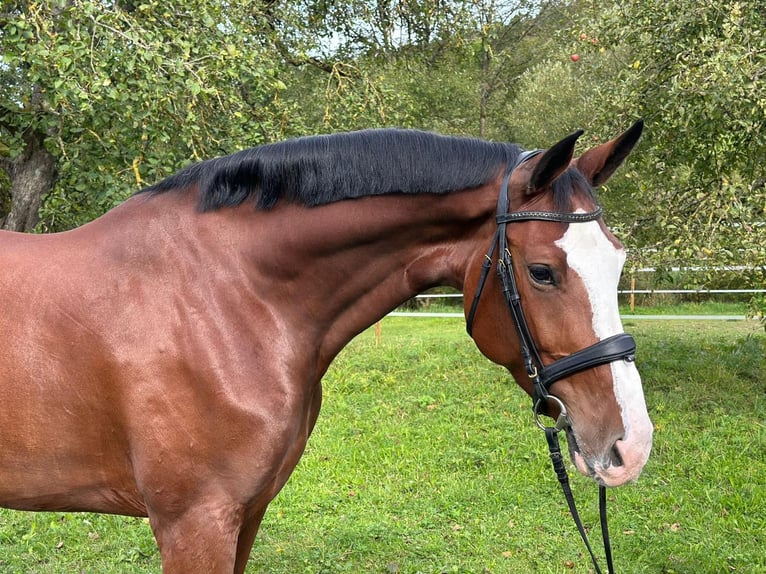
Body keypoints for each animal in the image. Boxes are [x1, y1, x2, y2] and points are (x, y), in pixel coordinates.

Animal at [0, 124, 656, 572]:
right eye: (543, 272)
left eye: (618, 259)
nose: (632, 446)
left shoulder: (245, 513)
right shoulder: (194, 523)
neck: (222, 296)